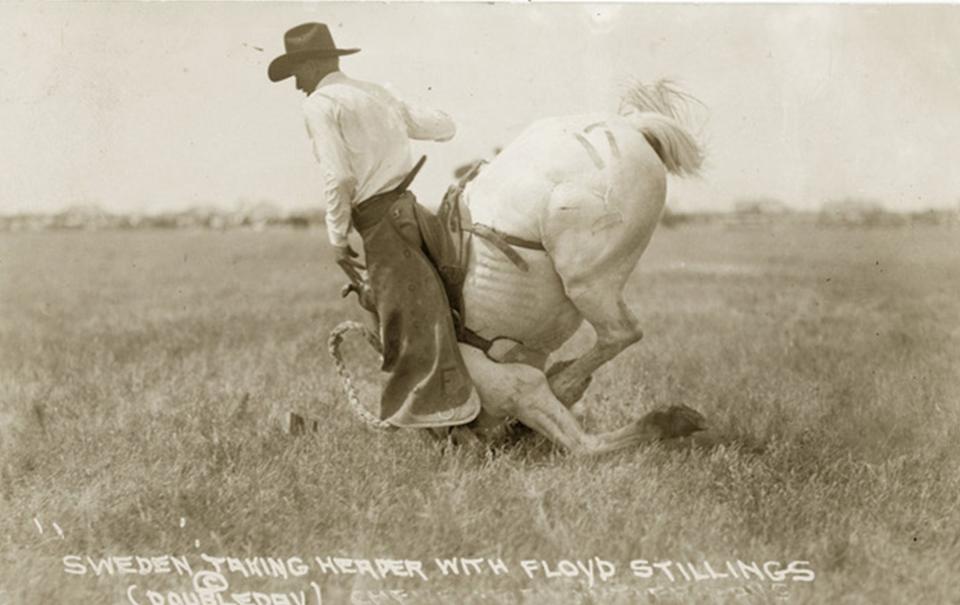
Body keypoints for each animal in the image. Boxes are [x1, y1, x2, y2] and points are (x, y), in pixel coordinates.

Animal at [334, 81, 708, 458]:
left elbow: (580, 443)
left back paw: (571, 383)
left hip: (587, 279)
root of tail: (630, 126)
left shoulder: (512, 386)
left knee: (621, 332)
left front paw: (669, 418)